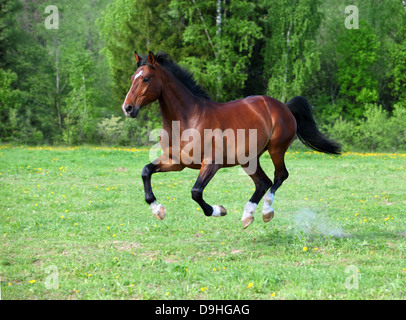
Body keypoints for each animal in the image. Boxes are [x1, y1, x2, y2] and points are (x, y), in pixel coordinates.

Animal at [122, 50, 340, 228]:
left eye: (146, 79)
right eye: (132, 77)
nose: (128, 108)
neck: (188, 119)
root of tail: (283, 106)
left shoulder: (211, 163)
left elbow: (196, 192)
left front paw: (219, 210)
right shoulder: (176, 162)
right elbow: (146, 171)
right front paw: (158, 210)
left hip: (276, 149)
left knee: (280, 176)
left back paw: (266, 212)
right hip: (248, 160)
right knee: (263, 182)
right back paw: (247, 216)